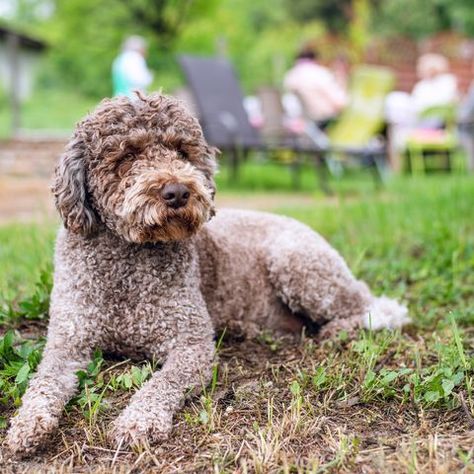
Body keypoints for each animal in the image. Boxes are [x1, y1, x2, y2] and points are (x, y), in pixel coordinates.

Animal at [5, 91, 410, 456]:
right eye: (128, 154)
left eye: (182, 151)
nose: (177, 191)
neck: (128, 258)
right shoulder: (68, 341)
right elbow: (43, 382)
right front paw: (27, 426)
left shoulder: (191, 345)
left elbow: (161, 383)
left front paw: (138, 421)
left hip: (297, 264)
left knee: (377, 307)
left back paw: (338, 329)